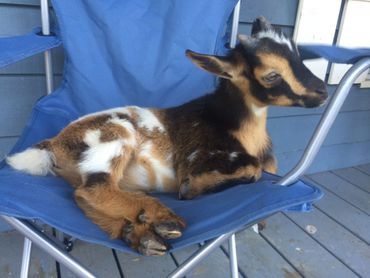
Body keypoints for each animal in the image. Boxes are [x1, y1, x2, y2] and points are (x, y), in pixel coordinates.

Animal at [7, 17, 328, 255]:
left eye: (298, 55)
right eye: (271, 75)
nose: (323, 91)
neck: (235, 128)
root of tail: (53, 143)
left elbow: (265, 168)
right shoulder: (197, 158)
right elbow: (254, 170)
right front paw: (192, 189)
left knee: (83, 196)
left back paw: (139, 235)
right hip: (115, 134)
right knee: (93, 189)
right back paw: (163, 219)